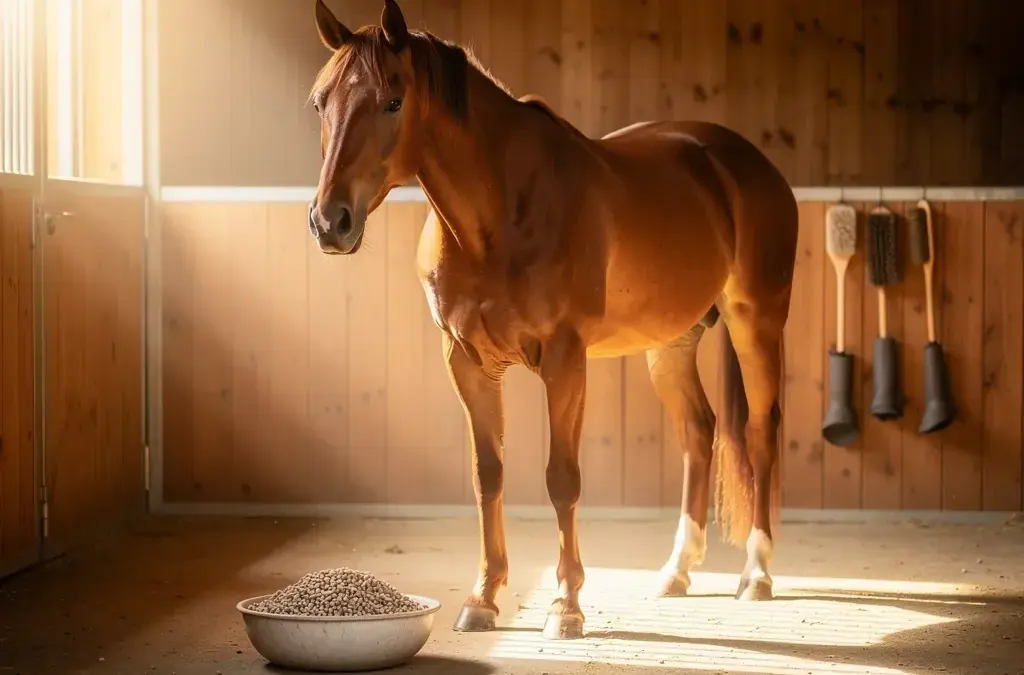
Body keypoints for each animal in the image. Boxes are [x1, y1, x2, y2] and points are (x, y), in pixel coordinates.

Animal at [307, 0, 799, 641]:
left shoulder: (565, 360)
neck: (499, 216)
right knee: (700, 430)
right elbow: (487, 474)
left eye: (393, 100)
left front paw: (566, 605)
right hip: (671, 344)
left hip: (755, 322)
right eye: (320, 103)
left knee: (760, 434)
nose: (330, 222)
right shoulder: (466, 361)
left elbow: (562, 479)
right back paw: (676, 570)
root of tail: (747, 164)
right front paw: (484, 597)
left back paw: (756, 574)